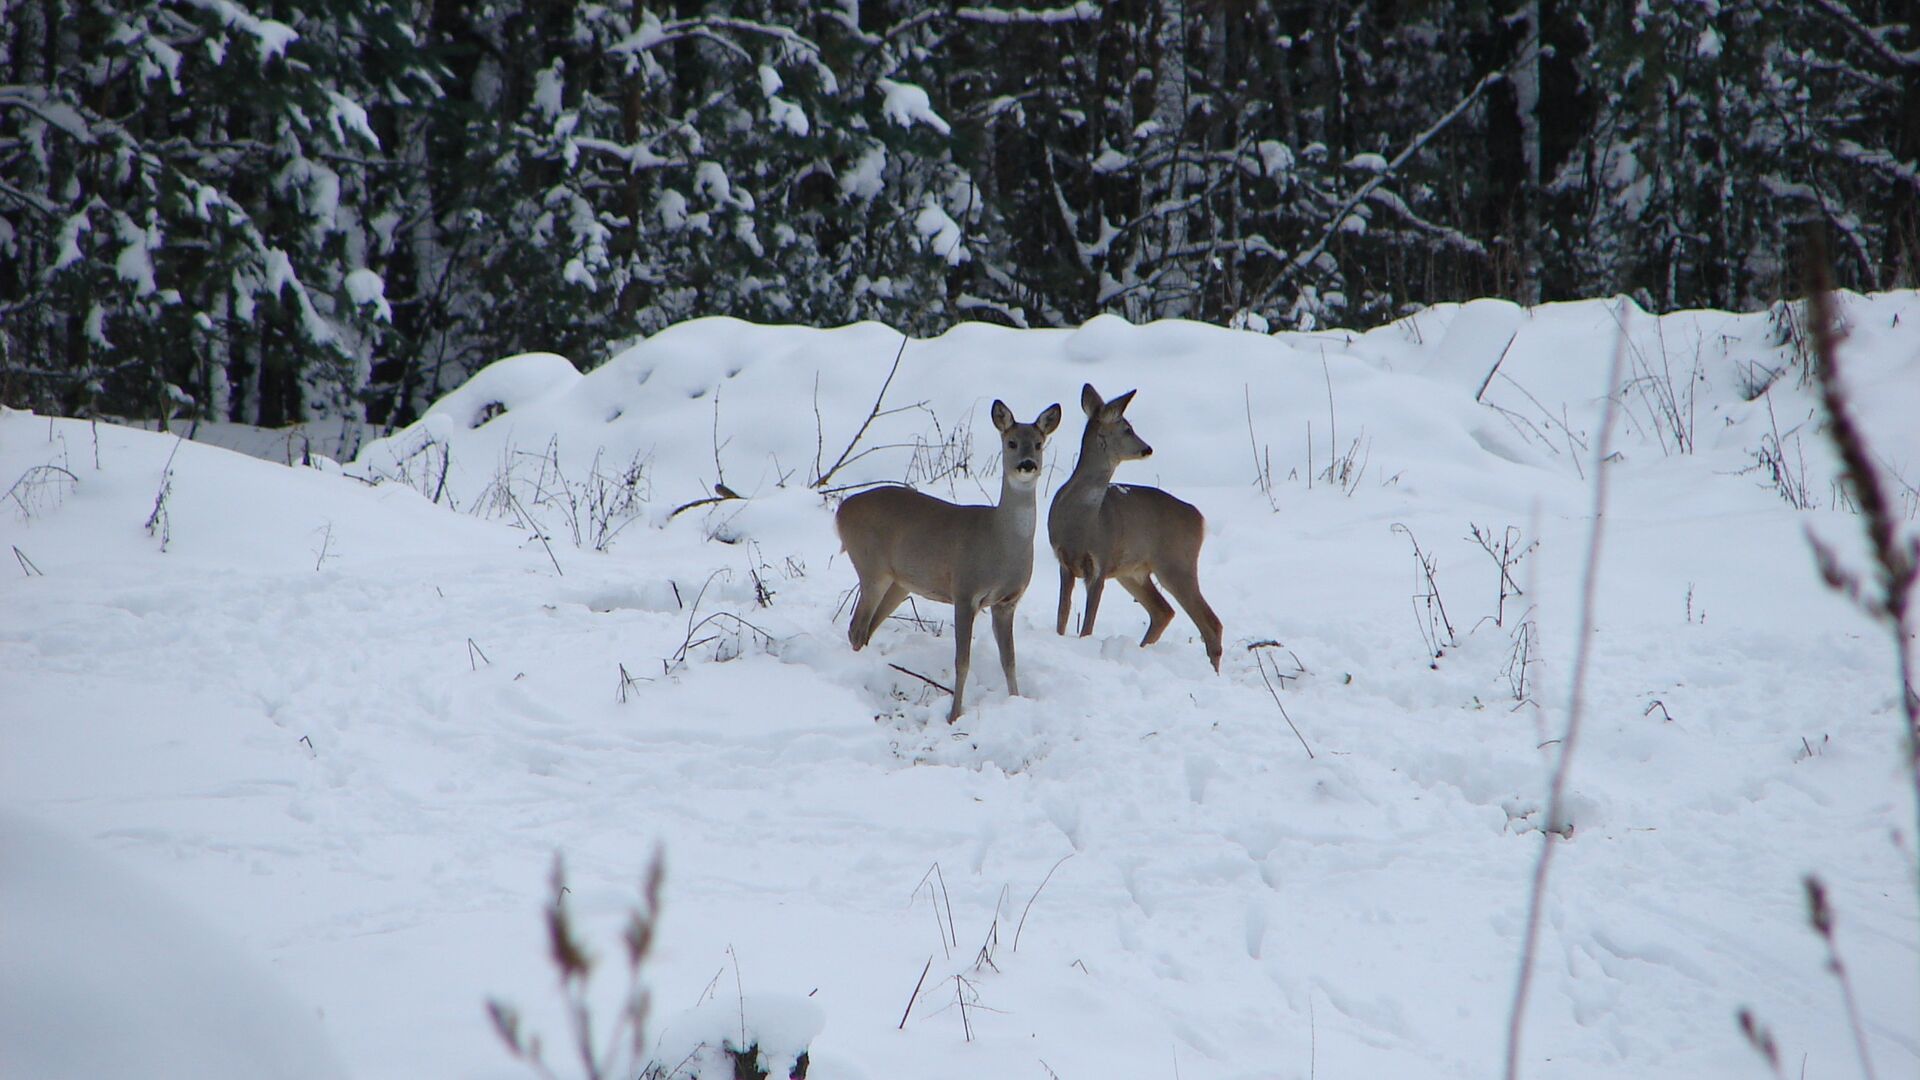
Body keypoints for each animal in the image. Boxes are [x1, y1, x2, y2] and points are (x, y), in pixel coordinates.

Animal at [833, 397, 1067, 722]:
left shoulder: (1007, 602)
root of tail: (841, 510)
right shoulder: (965, 591)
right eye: (1011, 442)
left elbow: (1009, 660)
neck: (1000, 542)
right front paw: (954, 715)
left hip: (899, 583)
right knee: (857, 626)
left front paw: (1016, 701)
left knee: (866, 628)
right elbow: (962, 661)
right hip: (871, 567)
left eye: (1038, 443)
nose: (1027, 464)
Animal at [1044, 378, 1221, 664]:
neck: (1082, 521)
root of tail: (1199, 517)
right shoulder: (1064, 561)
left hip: (1176, 562)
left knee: (1210, 622)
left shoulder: (1101, 560)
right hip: (1135, 572)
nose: (1147, 448)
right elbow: (1063, 615)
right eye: (1127, 429)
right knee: (1164, 611)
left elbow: (1088, 624)